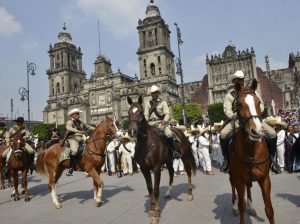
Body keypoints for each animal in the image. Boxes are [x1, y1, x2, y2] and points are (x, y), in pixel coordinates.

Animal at [126, 95, 197, 223]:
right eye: (129, 113)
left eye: (140, 112)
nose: (132, 131)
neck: (146, 143)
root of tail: (179, 131)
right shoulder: (144, 169)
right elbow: (150, 189)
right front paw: (152, 208)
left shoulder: (156, 167)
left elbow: (156, 189)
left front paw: (156, 214)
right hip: (168, 160)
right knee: (171, 173)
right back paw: (168, 192)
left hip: (184, 157)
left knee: (188, 172)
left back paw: (189, 194)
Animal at [229, 79, 276, 224]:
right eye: (239, 104)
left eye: (259, 102)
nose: (256, 132)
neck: (251, 150)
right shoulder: (238, 179)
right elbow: (241, 206)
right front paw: (238, 207)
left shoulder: (265, 179)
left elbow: (269, 209)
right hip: (232, 174)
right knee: (233, 188)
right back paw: (234, 207)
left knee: (248, 188)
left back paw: (251, 206)